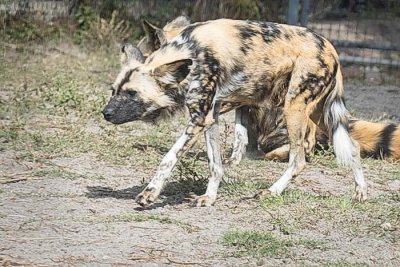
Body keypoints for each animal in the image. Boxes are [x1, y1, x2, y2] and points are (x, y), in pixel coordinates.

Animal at [101, 19, 368, 207]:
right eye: (114, 90)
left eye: (132, 93)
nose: (106, 113)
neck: (192, 53)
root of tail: (331, 47)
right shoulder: (210, 118)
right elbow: (215, 165)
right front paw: (209, 198)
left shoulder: (199, 119)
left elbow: (168, 158)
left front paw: (150, 194)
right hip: (319, 112)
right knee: (353, 147)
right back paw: (361, 193)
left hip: (294, 108)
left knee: (299, 160)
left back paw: (271, 191)